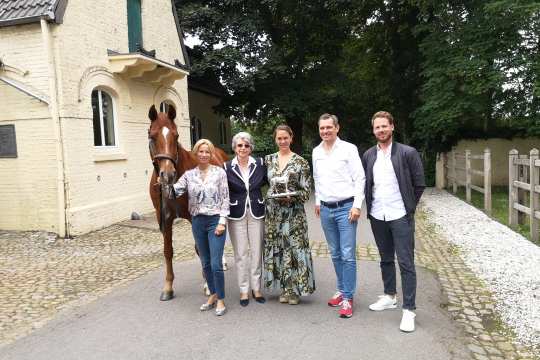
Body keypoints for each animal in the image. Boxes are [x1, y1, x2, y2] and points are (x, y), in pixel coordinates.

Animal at [149, 105, 229, 300]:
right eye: (152, 136)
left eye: (176, 135)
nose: (167, 175)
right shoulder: (165, 219)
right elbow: (168, 251)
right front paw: (168, 287)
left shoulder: (196, 217)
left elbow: (201, 249)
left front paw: (208, 285)